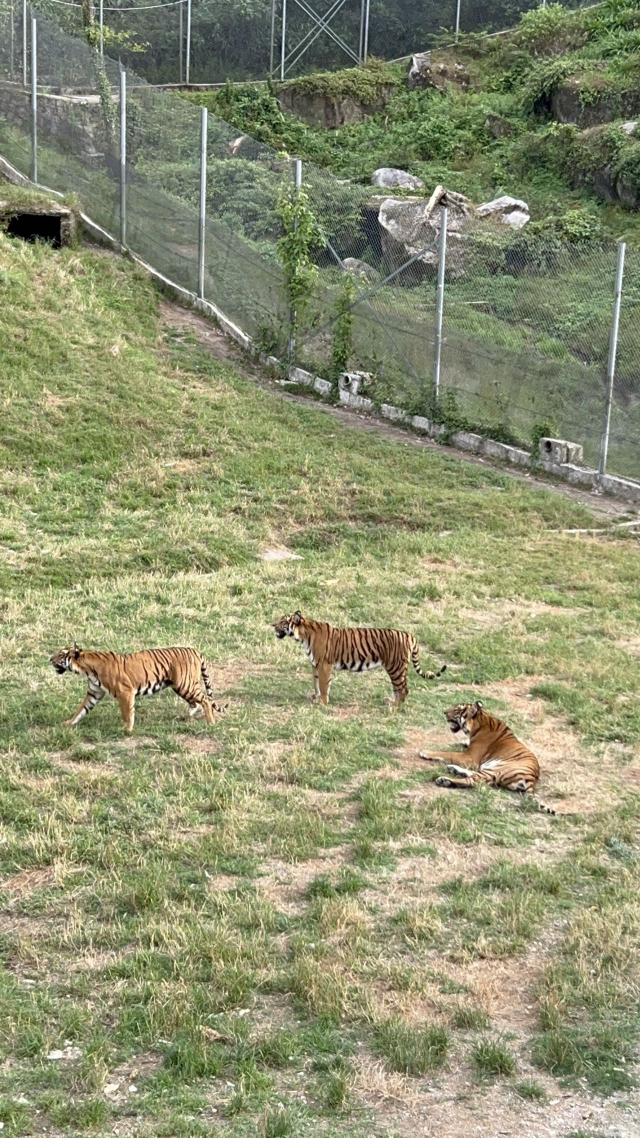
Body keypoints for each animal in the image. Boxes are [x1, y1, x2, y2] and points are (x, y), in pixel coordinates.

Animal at [50, 646, 227, 732]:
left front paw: (127, 730)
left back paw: (211, 723)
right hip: (182, 686)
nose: (49, 659)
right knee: (195, 703)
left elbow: (127, 713)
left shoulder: (125, 692)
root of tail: (195, 650)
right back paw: (184, 717)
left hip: (185, 684)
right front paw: (68, 723)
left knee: (205, 699)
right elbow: (81, 710)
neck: (87, 669)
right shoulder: (94, 692)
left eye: (61, 655)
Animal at [273, 609, 444, 705]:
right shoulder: (315, 665)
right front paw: (316, 697)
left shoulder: (324, 665)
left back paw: (395, 706)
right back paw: (391, 701)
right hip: (395, 669)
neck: (303, 635)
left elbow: (323, 684)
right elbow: (316, 683)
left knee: (403, 689)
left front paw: (323, 702)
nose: (272, 625)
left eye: (283, 621)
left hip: (396, 667)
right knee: (398, 688)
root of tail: (410, 635)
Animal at [419, 696, 553, 814]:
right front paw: (464, 742)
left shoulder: (470, 758)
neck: (481, 720)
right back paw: (453, 769)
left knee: (473, 781)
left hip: (497, 768)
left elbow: (448, 753)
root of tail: (533, 778)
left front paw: (425, 752)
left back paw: (444, 780)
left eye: (457, 709)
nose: (444, 712)